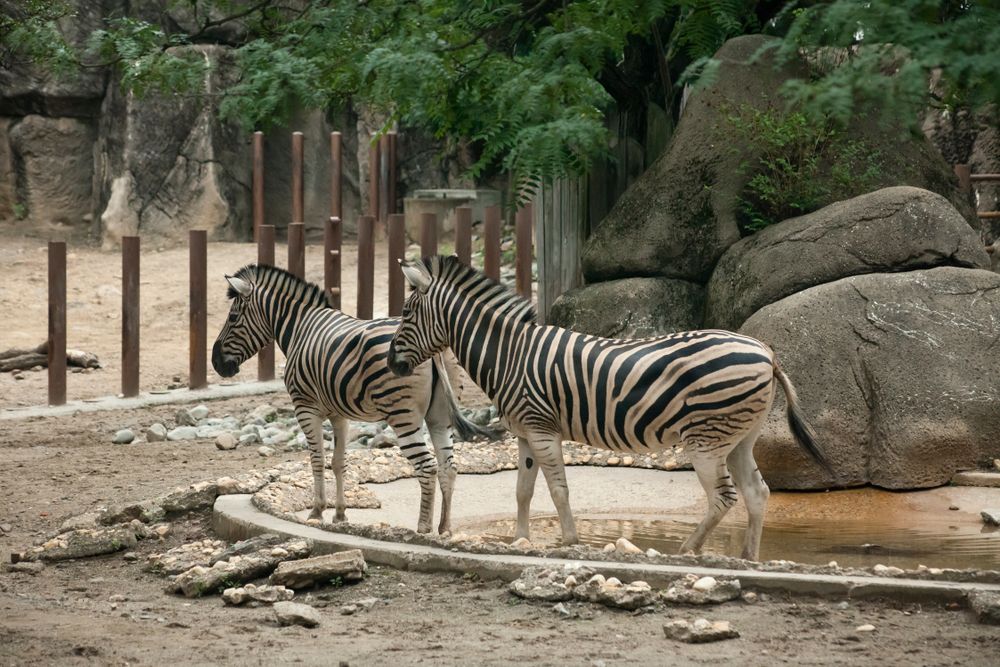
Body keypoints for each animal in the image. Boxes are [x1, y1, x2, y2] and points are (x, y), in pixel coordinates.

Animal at [211, 263, 494, 535]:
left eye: (233, 317)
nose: (216, 364)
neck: (300, 328)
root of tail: (433, 350)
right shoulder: (339, 413)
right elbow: (338, 462)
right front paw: (340, 515)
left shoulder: (305, 407)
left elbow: (317, 459)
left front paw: (317, 512)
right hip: (439, 416)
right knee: (448, 466)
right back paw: (444, 528)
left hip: (403, 415)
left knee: (427, 467)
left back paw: (423, 528)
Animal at [387, 255, 834, 561]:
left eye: (406, 313)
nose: (392, 365)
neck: (509, 354)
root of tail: (765, 353)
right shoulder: (525, 434)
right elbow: (523, 490)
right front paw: (520, 540)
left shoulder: (542, 429)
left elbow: (559, 489)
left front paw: (569, 542)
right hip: (740, 438)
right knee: (756, 492)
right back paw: (747, 558)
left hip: (706, 439)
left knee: (724, 497)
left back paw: (685, 551)